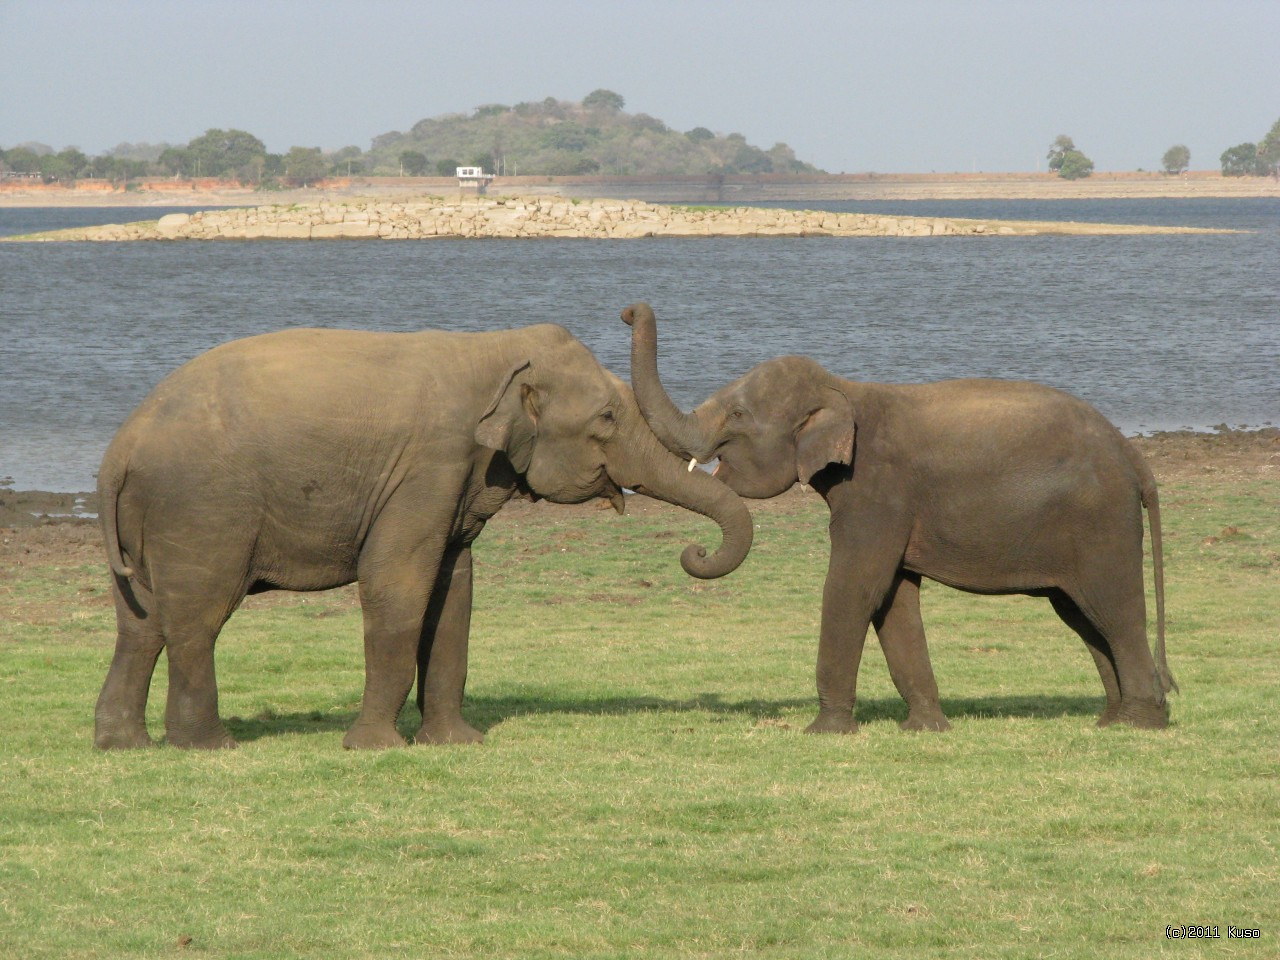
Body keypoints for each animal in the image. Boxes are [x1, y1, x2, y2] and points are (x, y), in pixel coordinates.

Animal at [624, 304, 1172, 732]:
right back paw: (1110, 720)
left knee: (1113, 608)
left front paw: (824, 730)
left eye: (737, 415)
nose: (629, 311)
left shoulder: (878, 491)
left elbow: (854, 587)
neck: (843, 389)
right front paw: (926, 727)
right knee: (1081, 614)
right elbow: (893, 599)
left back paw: (1138, 724)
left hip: (1101, 519)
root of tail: (1134, 457)